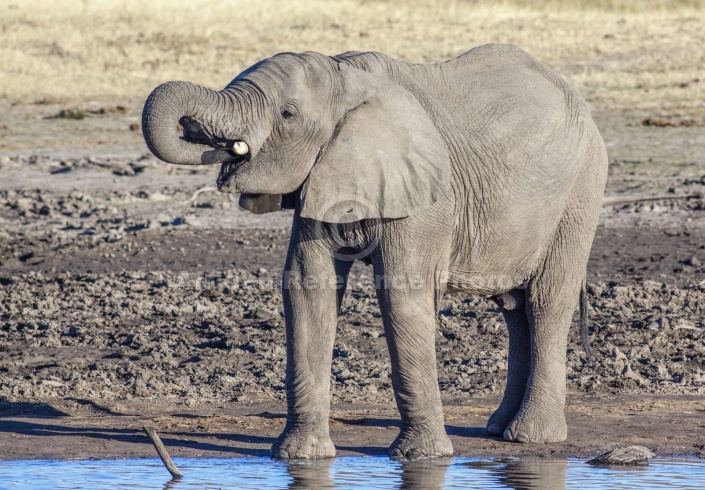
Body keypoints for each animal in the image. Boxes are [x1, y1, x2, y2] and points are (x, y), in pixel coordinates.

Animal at [142, 44, 604, 462]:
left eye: (287, 114)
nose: (205, 138)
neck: (346, 79)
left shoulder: (425, 197)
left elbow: (401, 296)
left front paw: (422, 457)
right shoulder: (323, 175)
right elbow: (308, 289)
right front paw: (298, 457)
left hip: (579, 195)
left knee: (546, 303)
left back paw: (531, 437)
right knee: (514, 310)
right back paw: (497, 428)